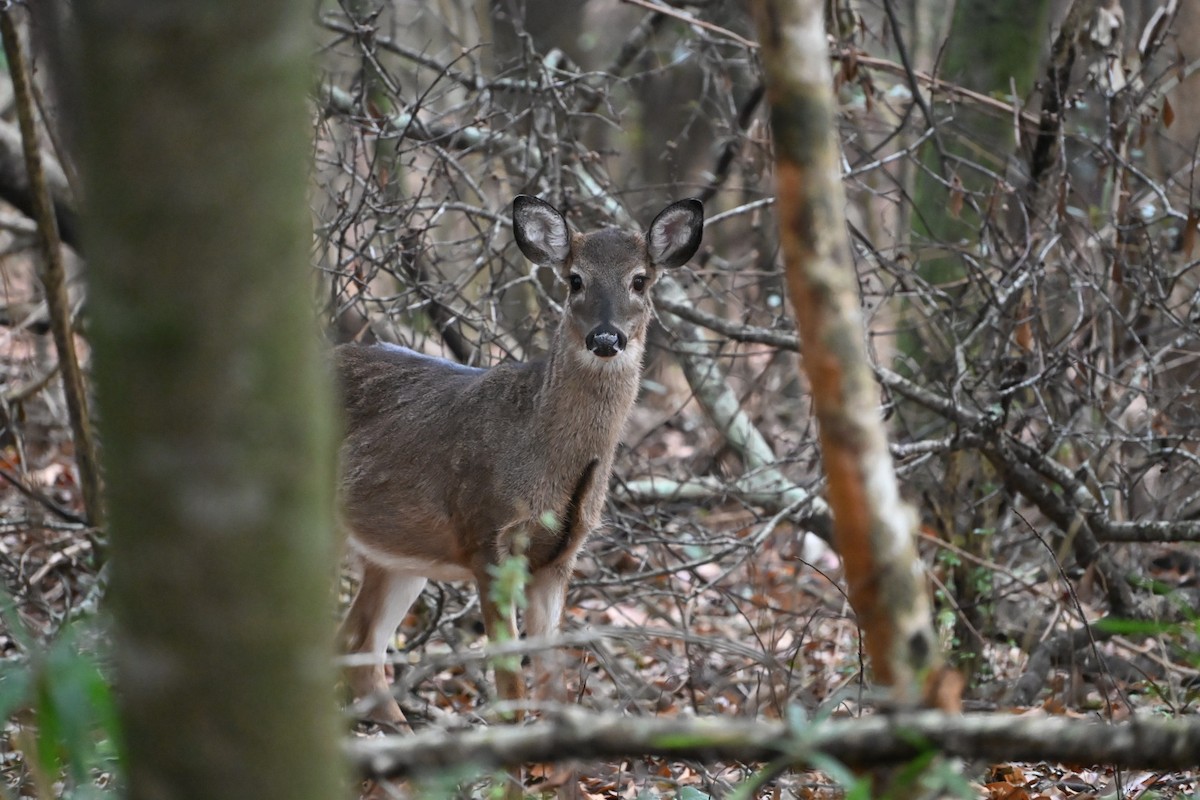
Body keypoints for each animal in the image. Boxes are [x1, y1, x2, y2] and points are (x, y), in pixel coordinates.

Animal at [336, 195, 704, 725]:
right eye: (575, 279)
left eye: (640, 279)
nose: (606, 338)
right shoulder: (485, 534)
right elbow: (510, 681)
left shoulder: (561, 557)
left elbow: (552, 680)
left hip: (398, 555)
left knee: (358, 644)